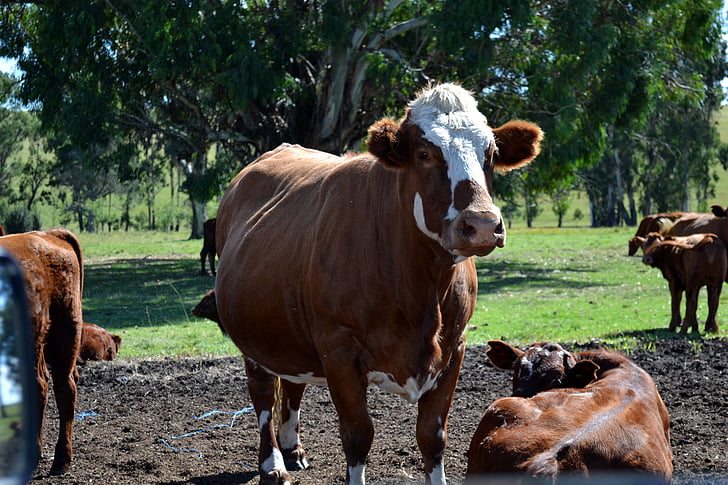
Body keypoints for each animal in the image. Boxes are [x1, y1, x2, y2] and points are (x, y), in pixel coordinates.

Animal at [213, 84, 544, 484]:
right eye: (424, 154)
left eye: (491, 154)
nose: (481, 224)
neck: (421, 292)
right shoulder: (338, 348)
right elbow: (358, 435)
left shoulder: (455, 347)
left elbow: (432, 436)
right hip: (252, 336)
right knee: (263, 393)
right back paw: (273, 464)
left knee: (292, 383)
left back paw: (293, 449)